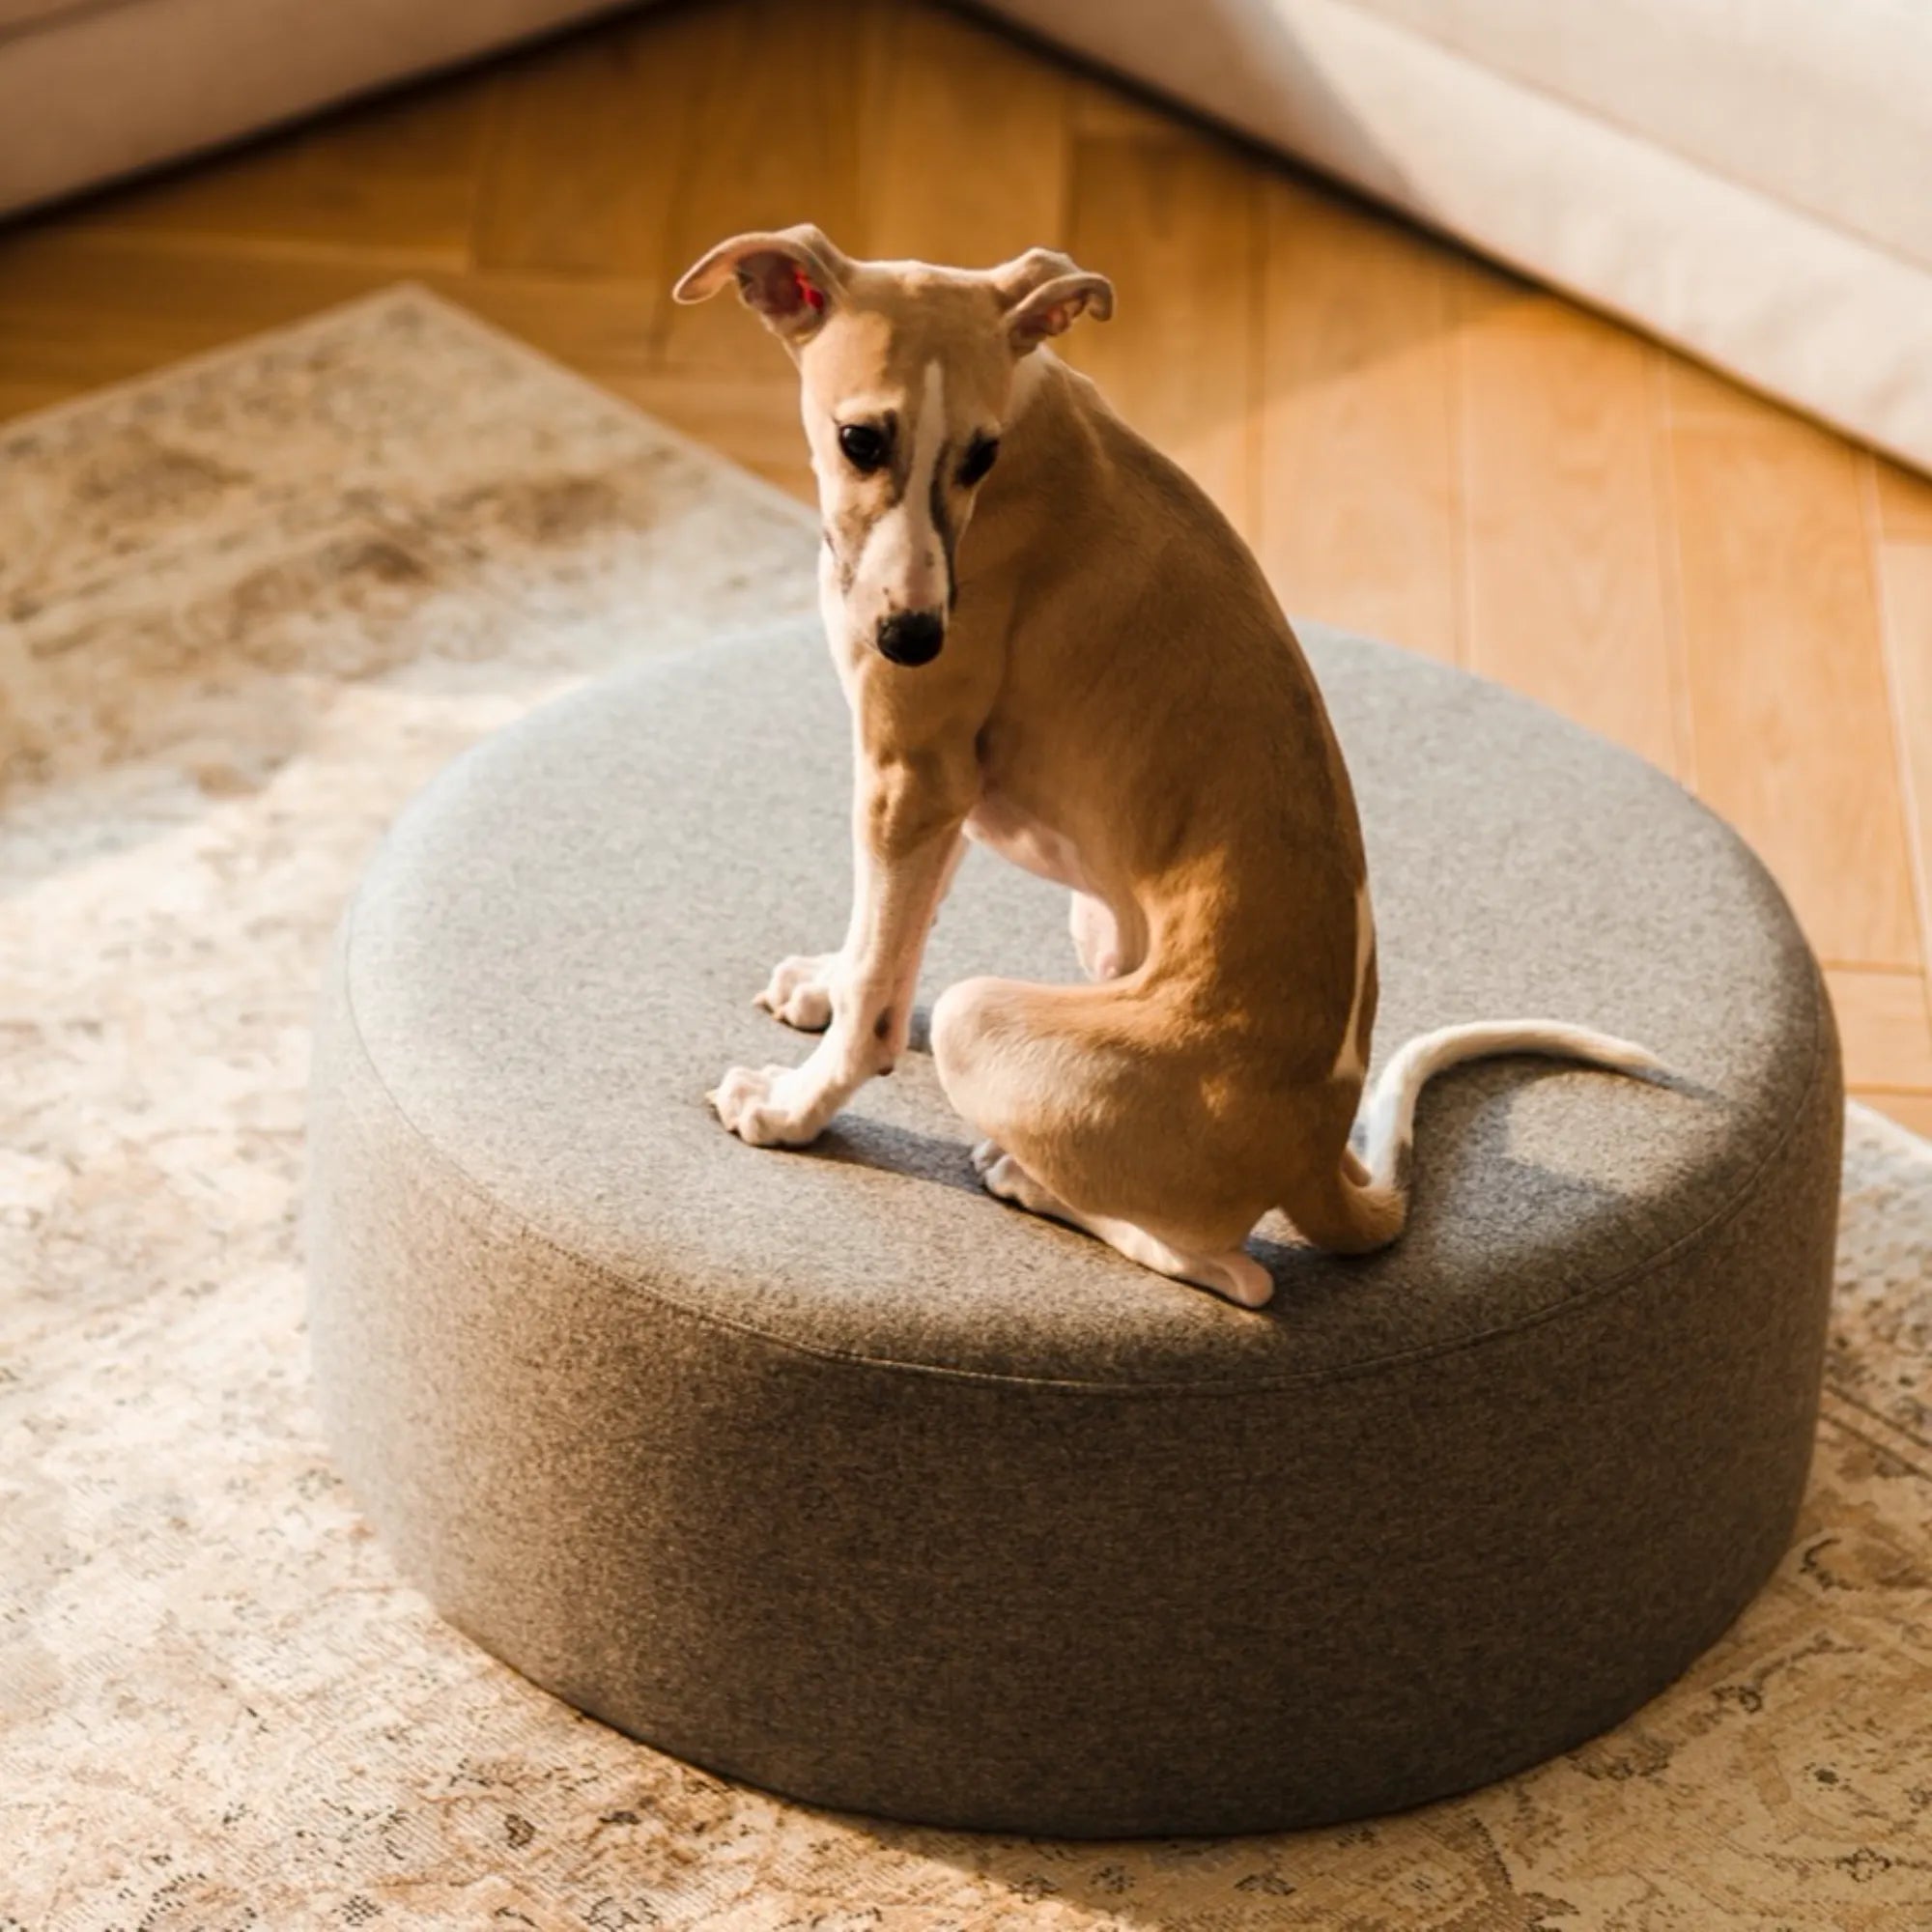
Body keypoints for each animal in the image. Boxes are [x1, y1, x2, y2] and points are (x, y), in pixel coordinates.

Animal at [672, 226, 1654, 1314]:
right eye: (861, 441)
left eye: (981, 456)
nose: (916, 639)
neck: (1029, 417)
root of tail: (1322, 1153)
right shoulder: (939, 793)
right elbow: (881, 943)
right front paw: (826, 980)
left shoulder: (913, 772)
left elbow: (878, 1013)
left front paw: (794, 1107)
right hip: (1092, 930)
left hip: (985, 1014)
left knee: (1233, 1272)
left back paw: (1027, 1179)